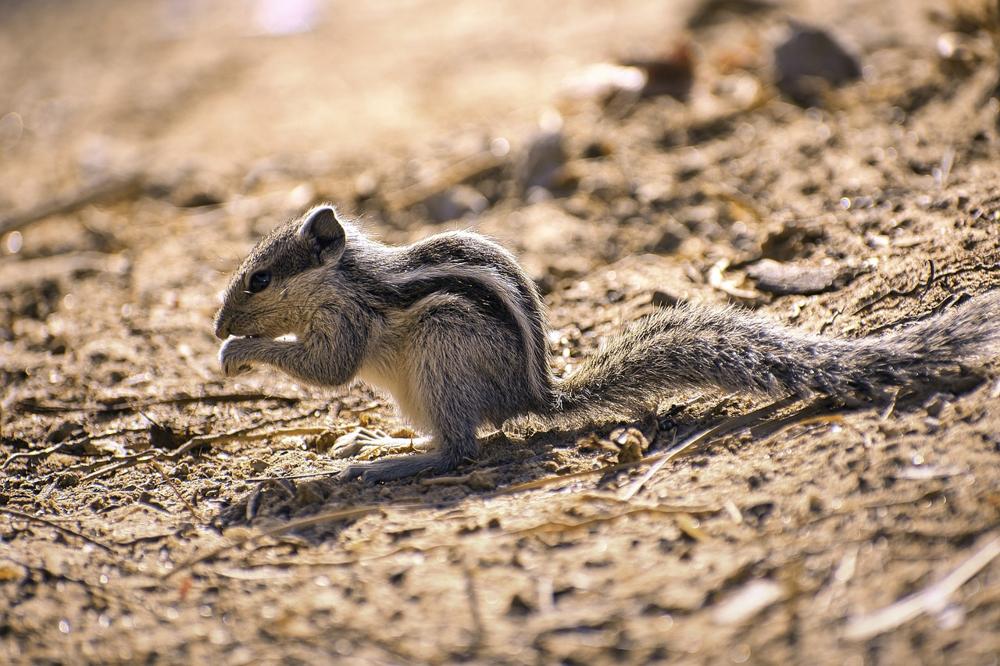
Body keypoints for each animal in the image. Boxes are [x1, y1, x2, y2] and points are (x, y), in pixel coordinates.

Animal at [214, 205, 1000, 483]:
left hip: (442, 354)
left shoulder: (348, 322)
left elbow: (327, 370)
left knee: (460, 450)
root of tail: (532, 393)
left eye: (259, 278)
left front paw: (238, 354)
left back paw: (385, 463)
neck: (344, 275)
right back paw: (381, 442)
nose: (220, 325)